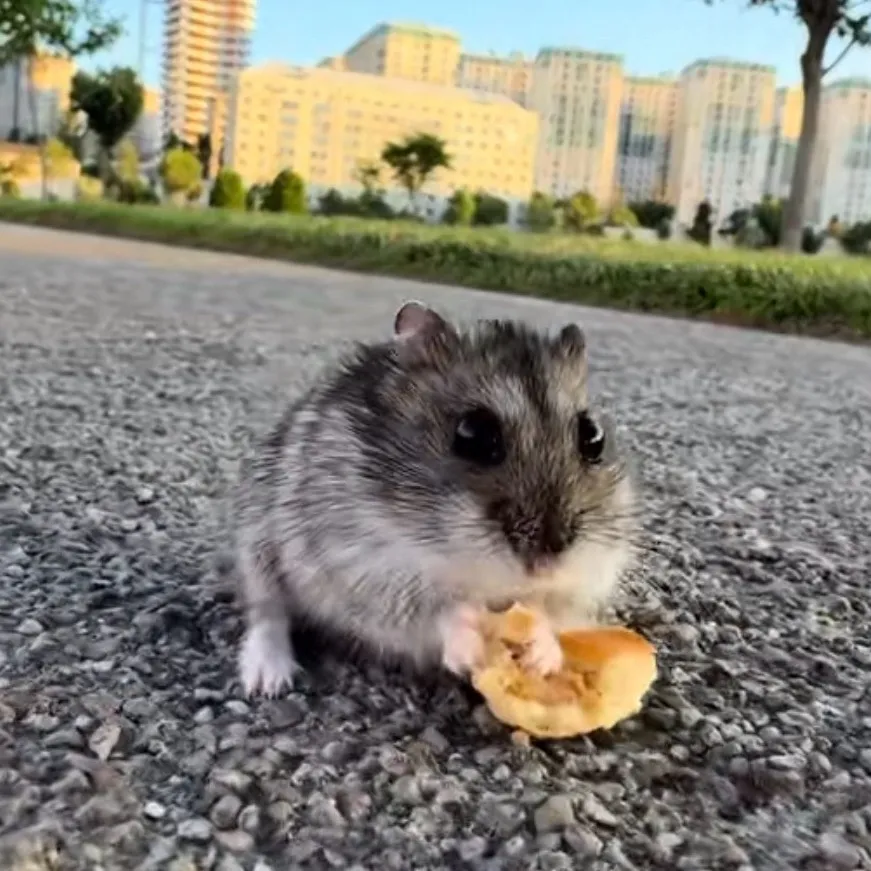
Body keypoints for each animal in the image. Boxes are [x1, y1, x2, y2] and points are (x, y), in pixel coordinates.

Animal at [231, 300, 638, 698]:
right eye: (473, 434)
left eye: (593, 436)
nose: (545, 566)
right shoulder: (364, 567)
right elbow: (438, 611)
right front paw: (468, 650)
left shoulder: (589, 577)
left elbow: (550, 613)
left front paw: (542, 656)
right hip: (257, 546)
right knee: (267, 613)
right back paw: (267, 680)